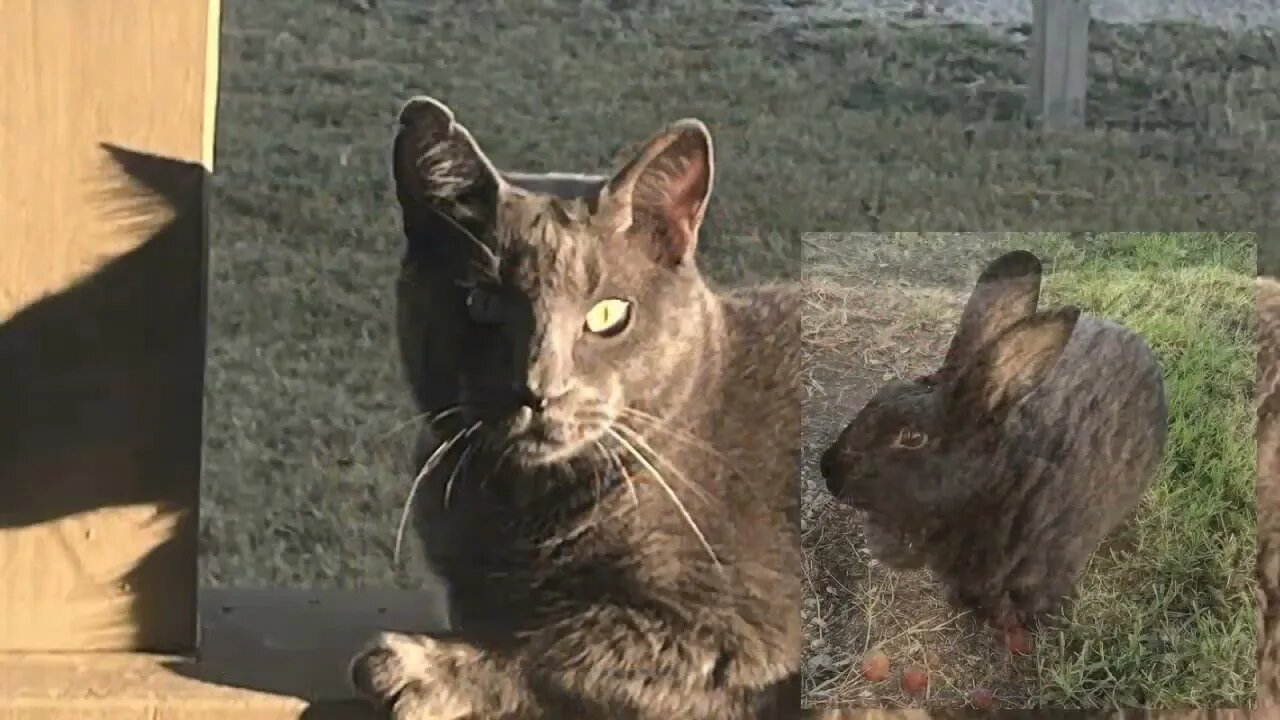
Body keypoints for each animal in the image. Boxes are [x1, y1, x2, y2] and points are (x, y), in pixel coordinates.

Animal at [350, 96, 798, 717]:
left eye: (608, 314)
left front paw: (421, 668)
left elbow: (568, 644)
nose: (540, 388)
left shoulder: (746, 633)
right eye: (483, 303)